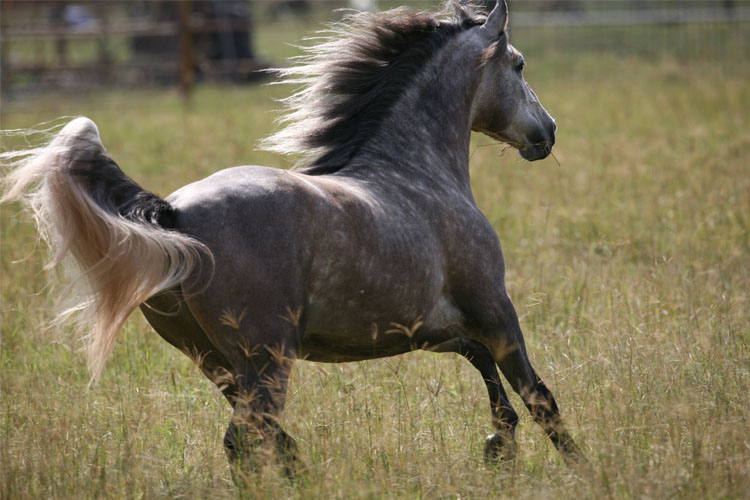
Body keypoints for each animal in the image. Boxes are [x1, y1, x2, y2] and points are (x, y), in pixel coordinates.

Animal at [1, 0, 583, 476]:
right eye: (519, 65)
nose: (549, 132)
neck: (417, 172)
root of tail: (173, 214)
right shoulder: (494, 308)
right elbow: (538, 395)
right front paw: (580, 467)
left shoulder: (432, 328)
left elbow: (488, 371)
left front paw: (498, 445)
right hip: (267, 358)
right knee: (245, 440)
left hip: (218, 362)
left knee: (262, 438)